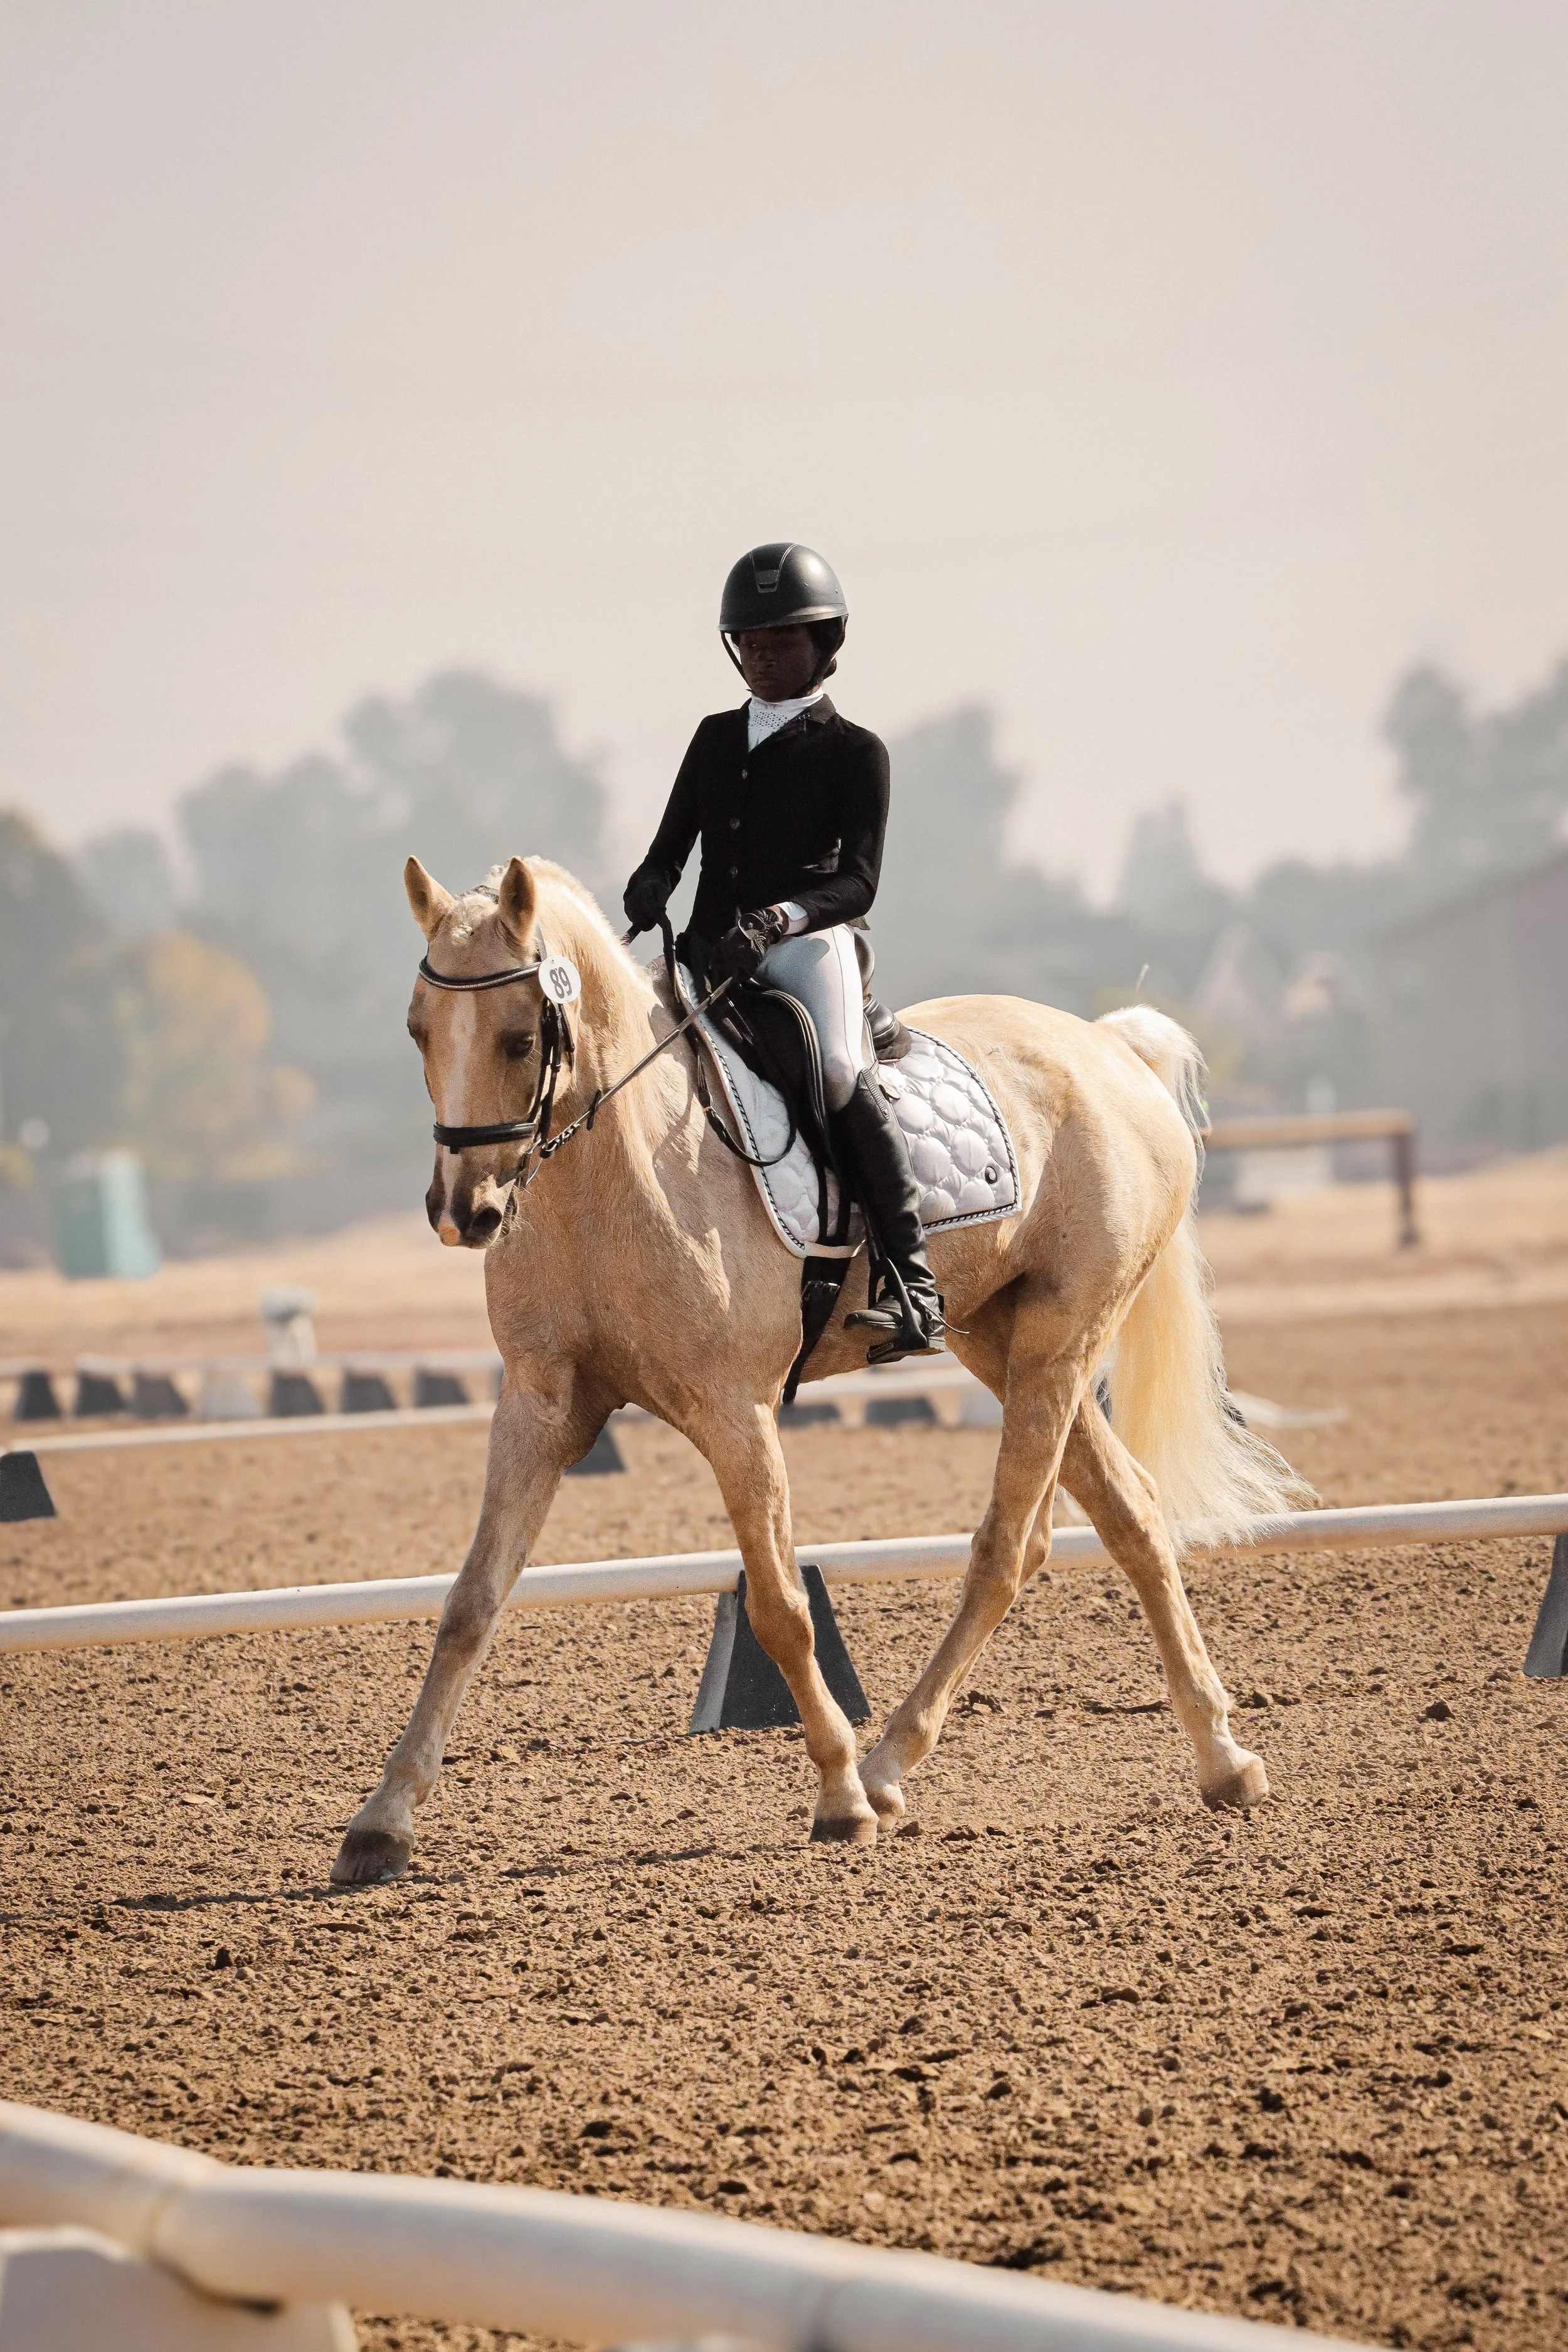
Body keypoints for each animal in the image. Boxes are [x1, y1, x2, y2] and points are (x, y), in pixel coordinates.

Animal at [330, 853, 1302, 1885]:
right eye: (418, 1030)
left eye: (520, 1038)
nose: (463, 1212)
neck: (612, 1179)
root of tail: (1111, 1048)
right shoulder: (537, 1408)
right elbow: (470, 1604)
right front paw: (382, 1821)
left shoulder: (736, 1412)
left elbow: (781, 1604)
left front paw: (837, 1792)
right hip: (1005, 1343)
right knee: (1128, 1515)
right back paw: (1221, 1757)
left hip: (1061, 1339)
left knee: (1006, 1549)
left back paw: (884, 1767)